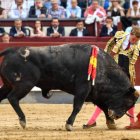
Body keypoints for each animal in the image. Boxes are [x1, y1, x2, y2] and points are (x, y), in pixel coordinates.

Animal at [0, 44, 138, 131]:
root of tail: (11, 50)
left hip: (7, 85)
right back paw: (23, 121)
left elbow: (103, 107)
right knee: (13, 98)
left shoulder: (96, 94)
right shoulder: (83, 89)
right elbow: (77, 106)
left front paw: (111, 124)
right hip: (25, 84)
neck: (103, 67)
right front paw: (69, 125)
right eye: (128, 102)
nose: (117, 116)